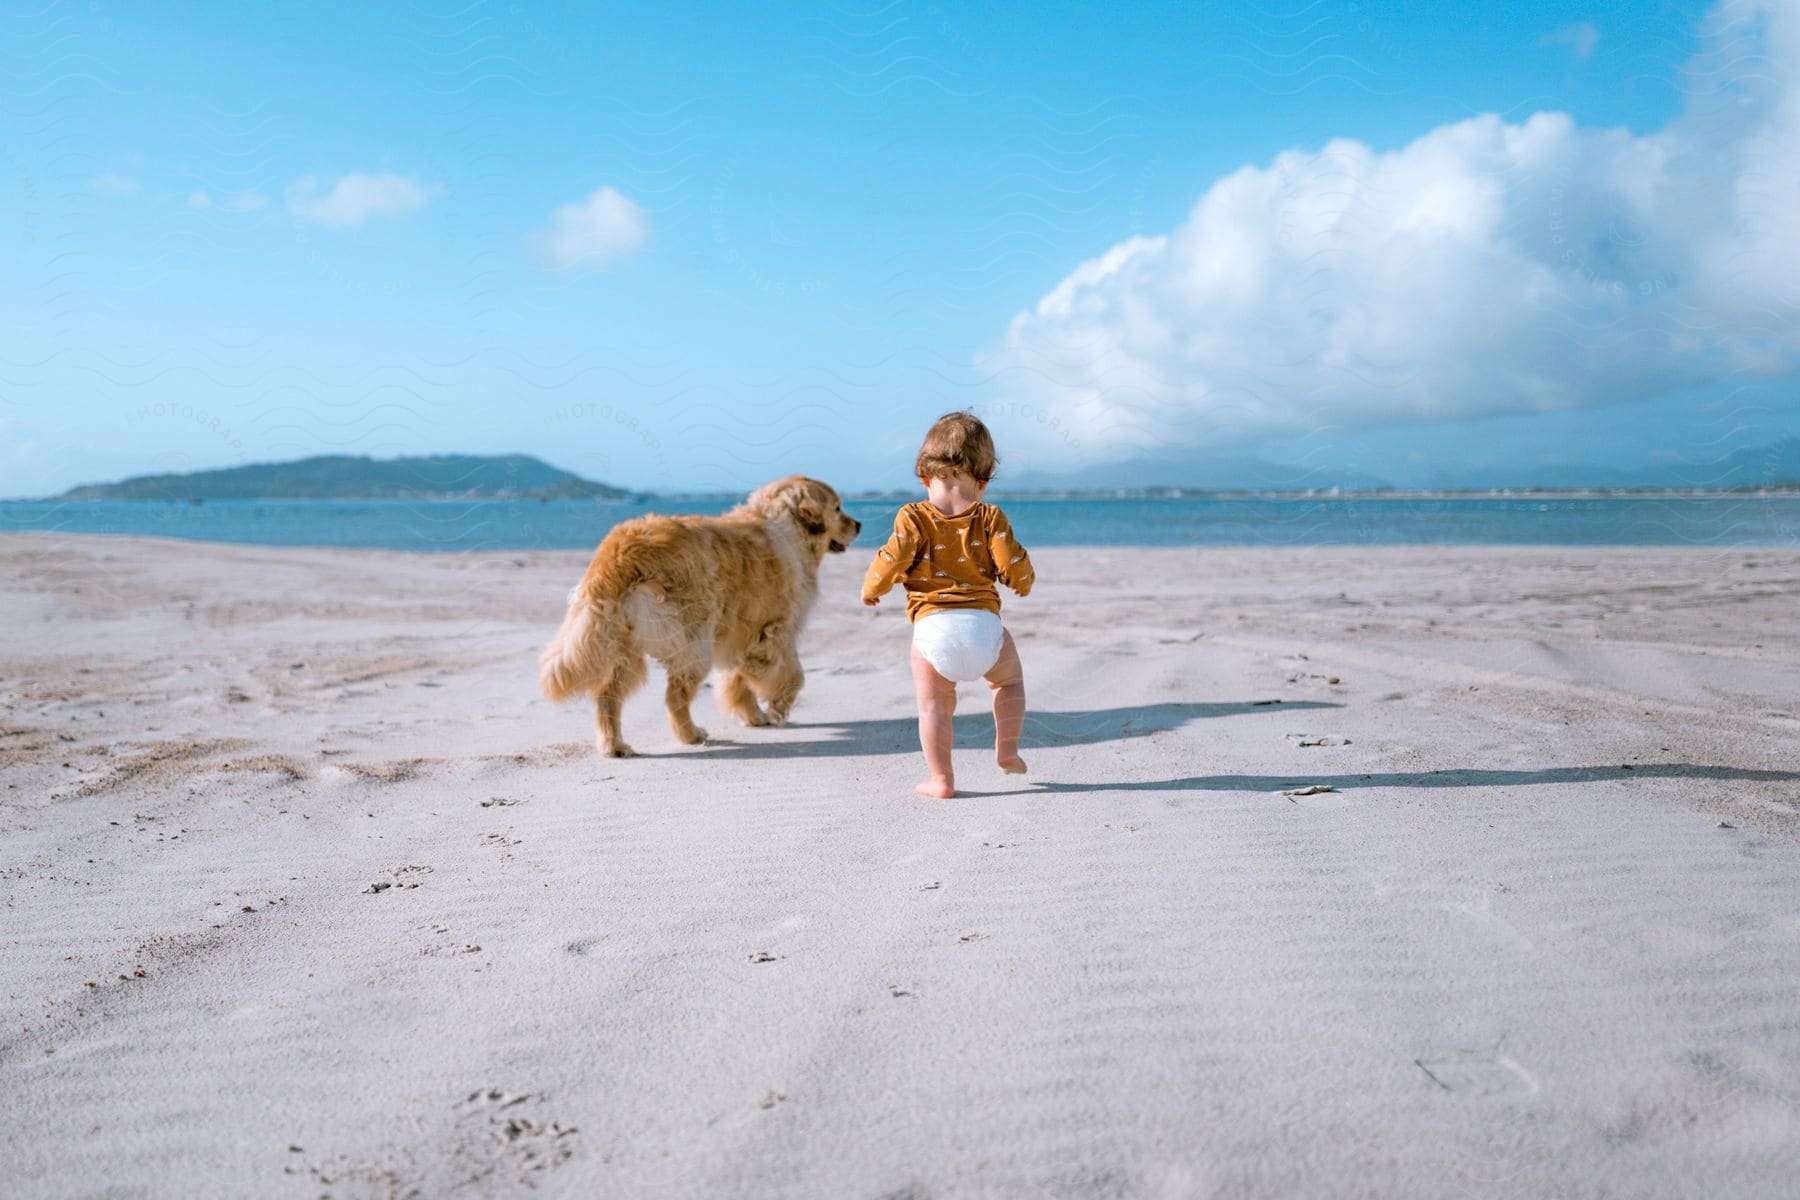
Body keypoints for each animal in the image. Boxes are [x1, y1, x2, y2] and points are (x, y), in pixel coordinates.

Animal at [536, 474, 860, 755]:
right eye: (838, 508)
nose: (859, 524)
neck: (788, 526)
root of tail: (622, 547)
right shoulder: (774, 632)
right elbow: (795, 676)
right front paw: (778, 708)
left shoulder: (738, 637)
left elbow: (737, 681)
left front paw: (752, 715)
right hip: (694, 643)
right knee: (674, 698)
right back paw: (690, 735)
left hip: (625, 648)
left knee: (607, 696)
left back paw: (614, 745)